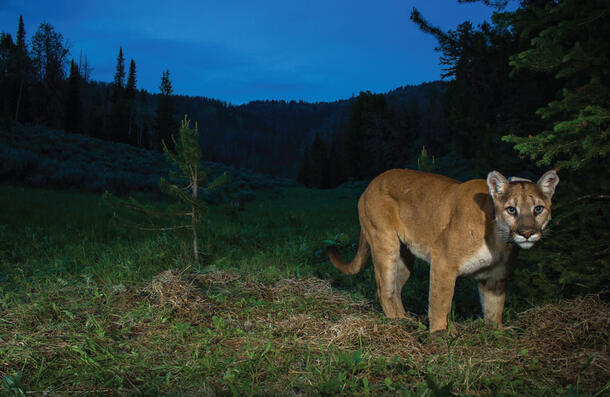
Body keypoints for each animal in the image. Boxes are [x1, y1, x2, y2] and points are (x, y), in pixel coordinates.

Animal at [328, 169, 556, 332]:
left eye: (538, 209)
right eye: (511, 209)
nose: (526, 233)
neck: (499, 240)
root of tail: (370, 185)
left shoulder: (494, 279)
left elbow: (494, 311)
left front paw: (496, 336)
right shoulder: (443, 262)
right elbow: (440, 303)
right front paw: (439, 337)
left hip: (404, 259)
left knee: (395, 289)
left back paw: (405, 320)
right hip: (385, 242)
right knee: (384, 290)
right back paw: (396, 325)